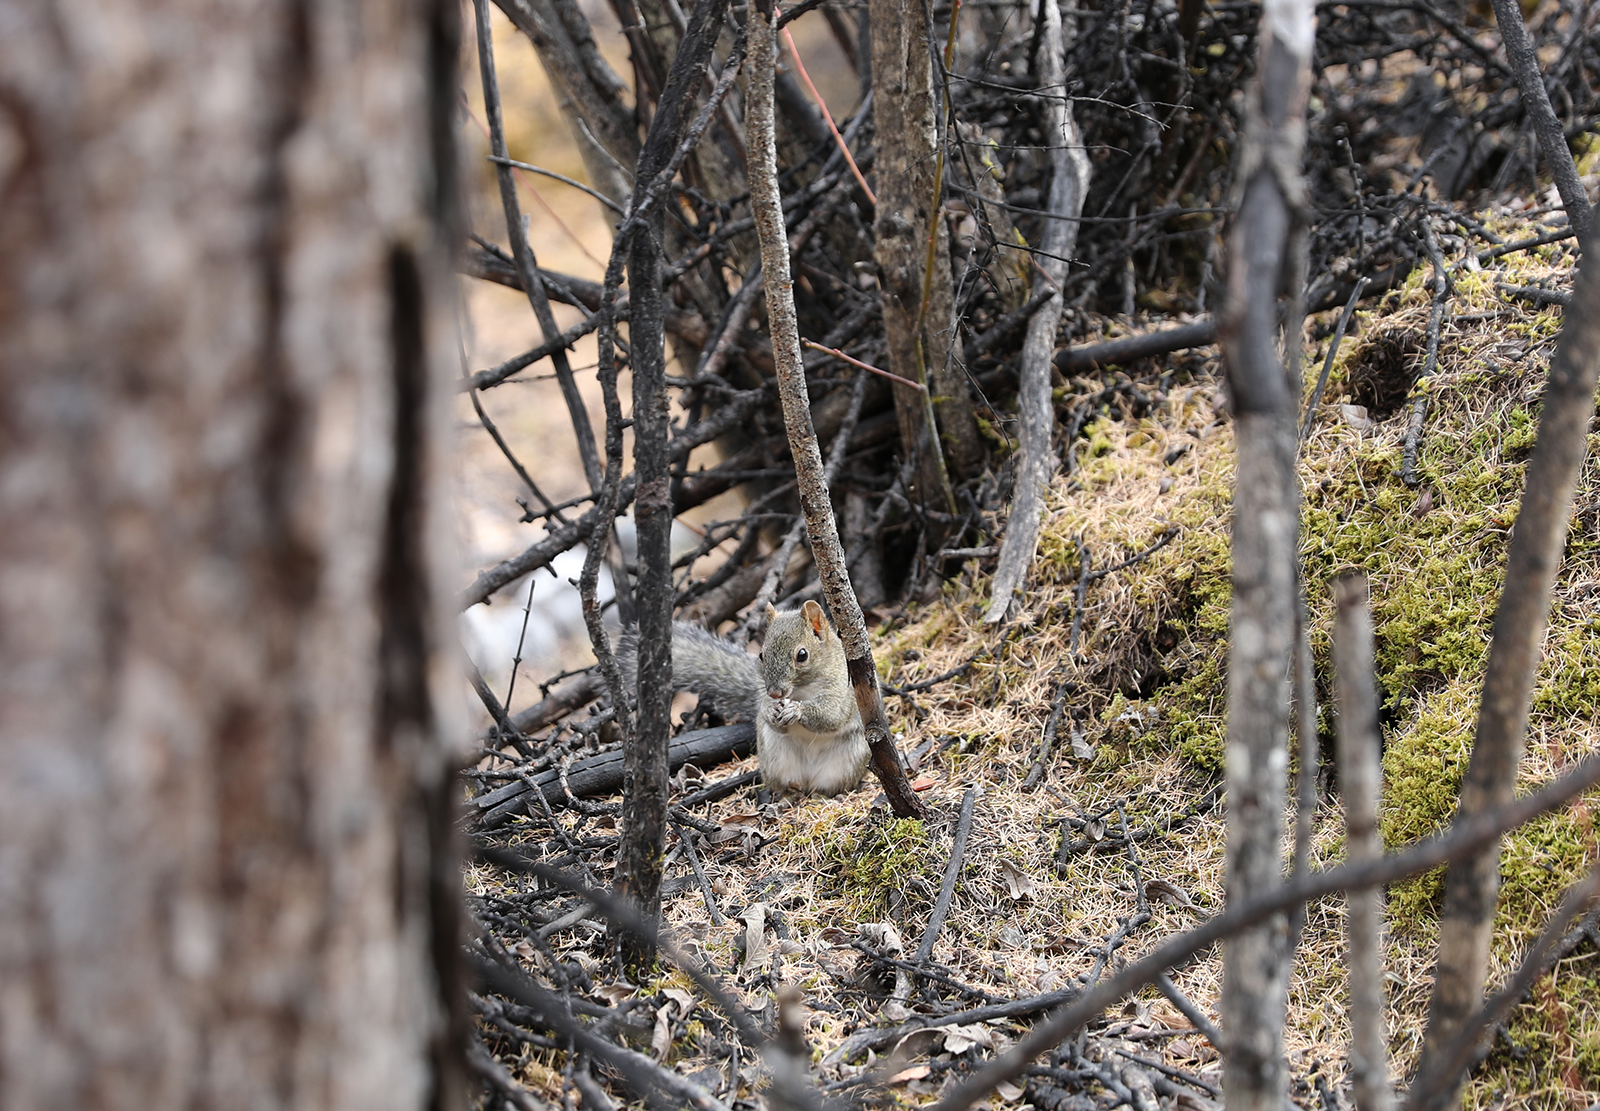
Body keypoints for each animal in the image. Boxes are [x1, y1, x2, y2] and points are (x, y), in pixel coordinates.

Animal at [614, 601, 870, 800]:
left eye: (802, 655)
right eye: (761, 655)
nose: (775, 693)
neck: (801, 690)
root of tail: (808, 778)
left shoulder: (843, 691)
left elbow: (832, 716)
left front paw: (796, 711)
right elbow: (769, 714)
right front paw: (769, 713)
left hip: (846, 762)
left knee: (825, 787)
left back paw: (822, 796)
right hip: (775, 760)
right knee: (789, 787)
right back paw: (787, 797)